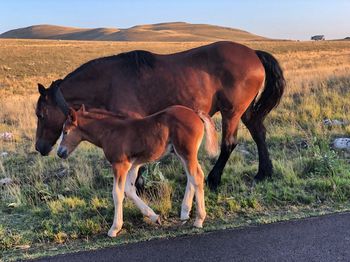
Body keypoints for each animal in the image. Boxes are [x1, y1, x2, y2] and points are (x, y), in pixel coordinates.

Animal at [35, 40, 284, 190]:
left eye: (41, 114)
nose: (40, 147)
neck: (108, 81)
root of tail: (254, 54)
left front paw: (139, 185)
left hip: (231, 112)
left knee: (229, 144)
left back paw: (214, 179)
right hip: (245, 110)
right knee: (259, 132)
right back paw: (264, 172)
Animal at [56, 105, 217, 237]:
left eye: (65, 131)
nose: (59, 152)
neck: (110, 132)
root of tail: (195, 113)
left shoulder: (120, 165)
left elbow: (117, 193)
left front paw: (114, 228)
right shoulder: (133, 166)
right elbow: (129, 190)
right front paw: (154, 217)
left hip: (186, 152)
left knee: (197, 176)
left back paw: (199, 219)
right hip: (181, 153)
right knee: (192, 177)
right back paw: (185, 213)